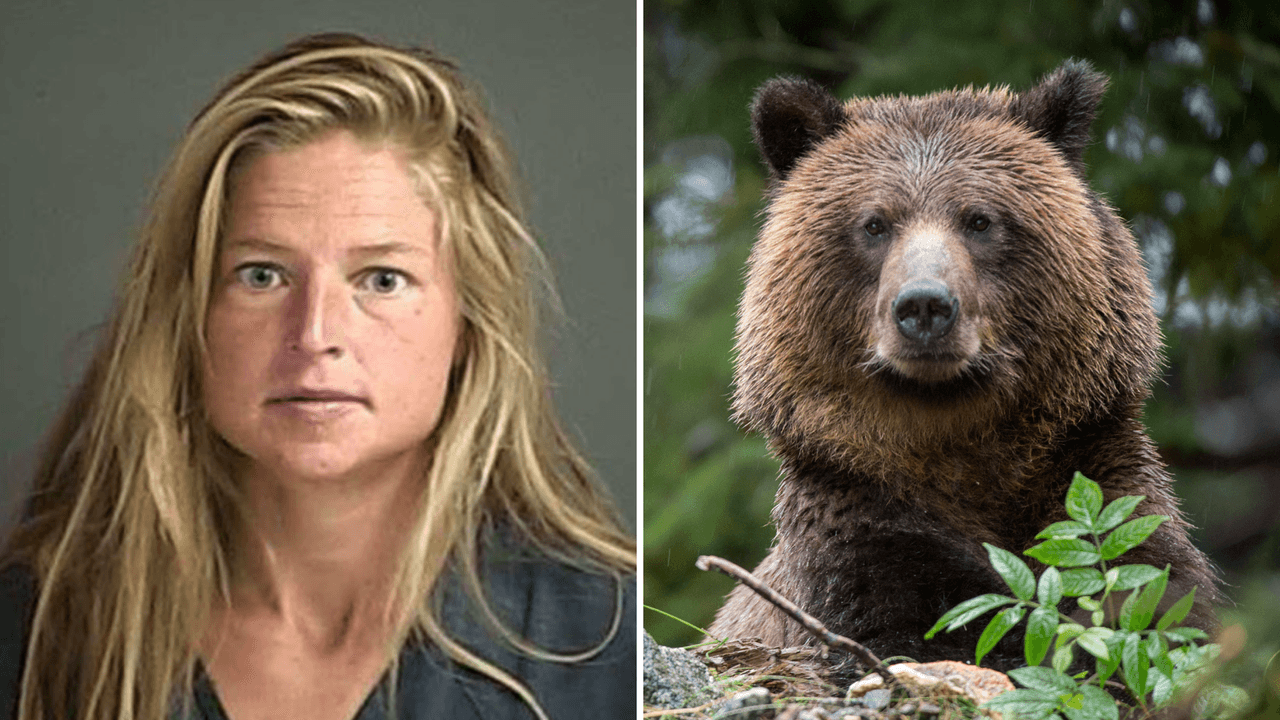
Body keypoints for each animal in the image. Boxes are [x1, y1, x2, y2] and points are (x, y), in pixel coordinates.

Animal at [707, 60, 1223, 675]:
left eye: (979, 219)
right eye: (874, 224)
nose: (925, 305)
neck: (957, 444)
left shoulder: (1096, 477)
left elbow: (1153, 595)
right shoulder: (855, 514)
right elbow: (917, 619)